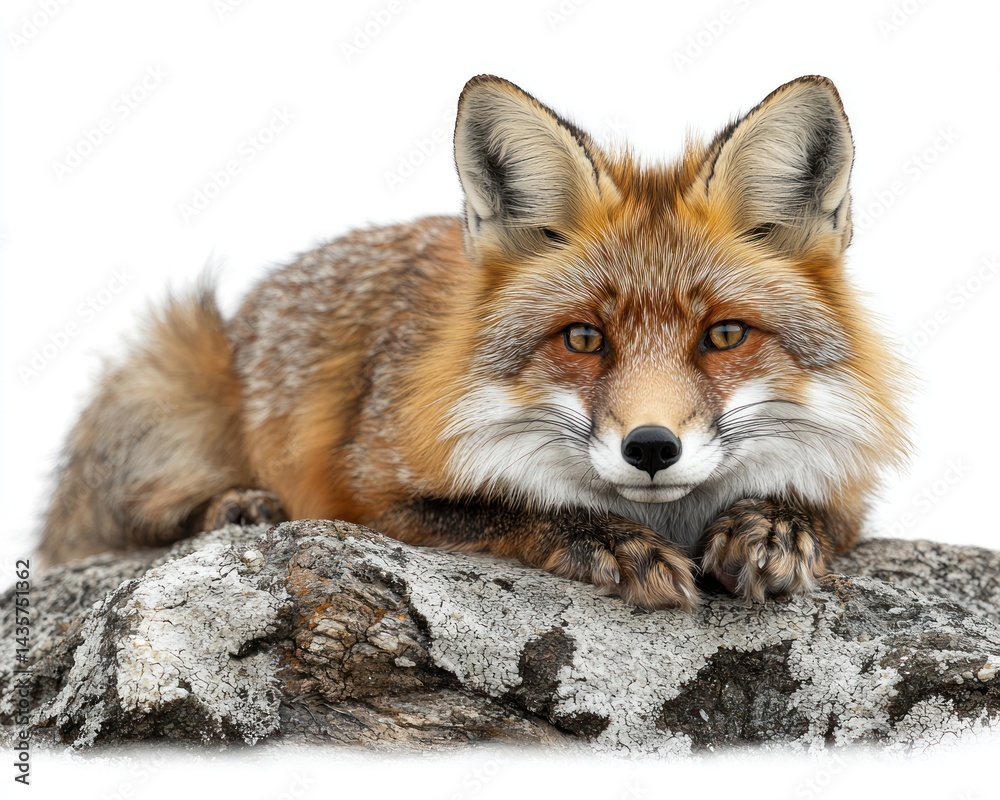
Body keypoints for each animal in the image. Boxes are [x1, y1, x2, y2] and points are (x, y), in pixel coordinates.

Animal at [39, 74, 909, 610]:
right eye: (583, 337)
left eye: (724, 334)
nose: (652, 447)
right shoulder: (372, 491)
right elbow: (506, 510)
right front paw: (607, 542)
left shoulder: (848, 485)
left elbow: (826, 513)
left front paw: (776, 528)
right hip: (168, 366)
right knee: (112, 530)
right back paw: (232, 505)